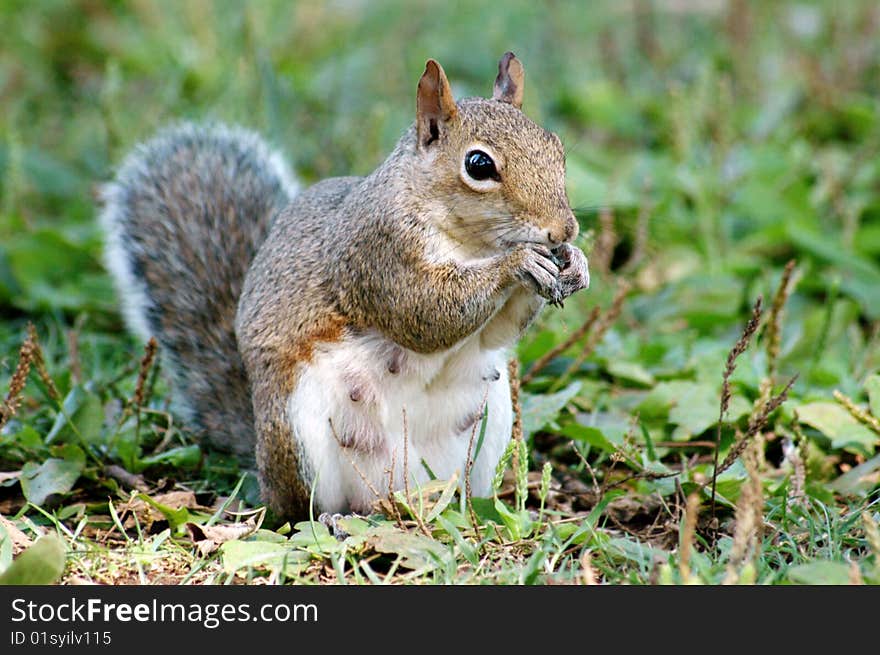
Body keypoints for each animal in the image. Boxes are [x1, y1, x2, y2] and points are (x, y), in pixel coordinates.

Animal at [99, 53, 588, 520]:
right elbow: (425, 315)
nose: (563, 229)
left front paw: (575, 264)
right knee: (298, 512)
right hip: (298, 431)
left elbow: (494, 334)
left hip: (491, 420)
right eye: (479, 165)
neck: (472, 244)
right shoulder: (377, 252)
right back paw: (333, 520)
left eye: (556, 147)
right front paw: (517, 263)